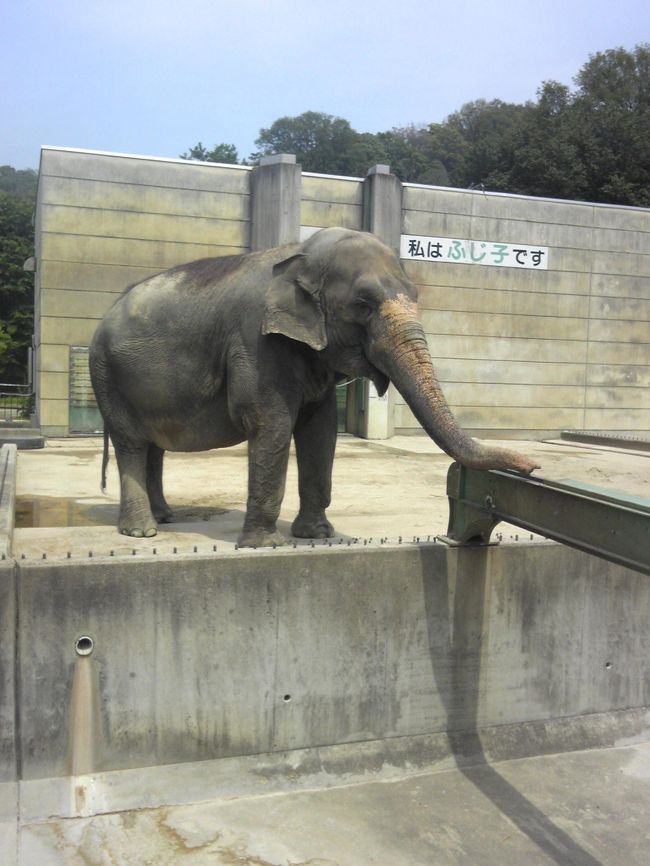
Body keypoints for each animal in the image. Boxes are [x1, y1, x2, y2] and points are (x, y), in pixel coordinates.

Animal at [90, 226, 536, 544]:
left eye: (414, 296)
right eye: (363, 305)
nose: (532, 465)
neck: (302, 253)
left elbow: (320, 430)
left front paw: (318, 536)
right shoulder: (255, 342)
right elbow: (270, 423)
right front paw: (265, 545)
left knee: (153, 446)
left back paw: (164, 518)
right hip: (108, 376)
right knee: (132, 444)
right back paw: (142, 531)